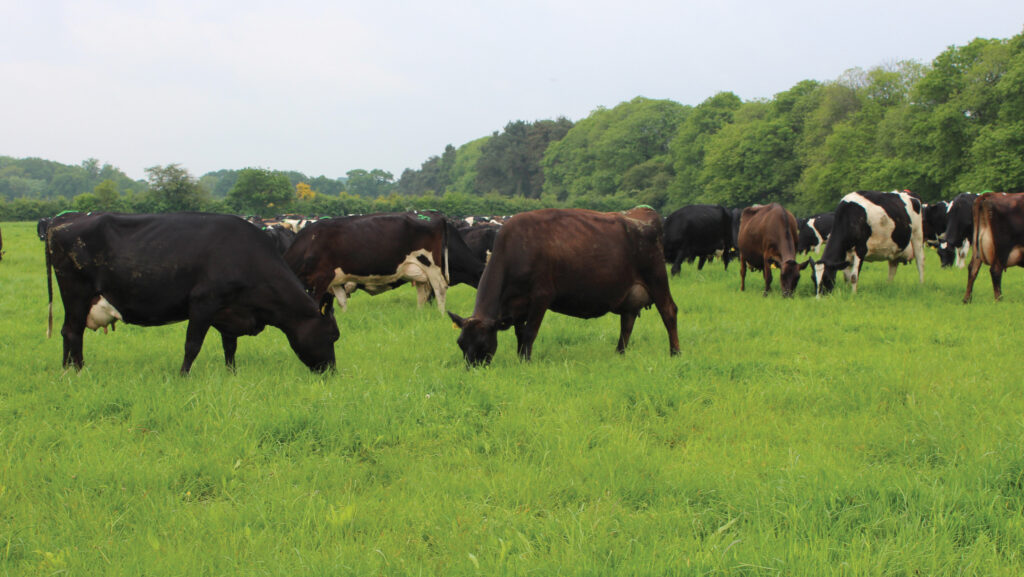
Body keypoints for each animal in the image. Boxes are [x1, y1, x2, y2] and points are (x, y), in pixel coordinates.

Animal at [46, 212, 337, 375]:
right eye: (333, 335)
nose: (331, 372)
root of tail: (59, 224)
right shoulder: (203, 303)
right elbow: (192, 345)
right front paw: (183, 376)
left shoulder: (230, 311)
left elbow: (230, 347)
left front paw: (231, 374)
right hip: (76, 292)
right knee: (73, 333)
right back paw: (79, 371)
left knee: (67, 331)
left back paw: (67, 370)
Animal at [284, 211, 483, 313]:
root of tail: (435, 215)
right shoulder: (335, 282)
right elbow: (342, 303)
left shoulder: (322, 278)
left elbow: (317, 305)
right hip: (419, 270)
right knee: (423, 292)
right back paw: (420, 314)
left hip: (431, 265)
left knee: (439, 288)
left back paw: (440, 315)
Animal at [448, 208, 679, 364]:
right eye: (460, 343)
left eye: (483, 344)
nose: (472, 369)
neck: (516, 250)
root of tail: (643, 213)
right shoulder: (517, 305)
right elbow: (520, 334)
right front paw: (520, 357)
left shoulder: (541, 296)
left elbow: (530, 333)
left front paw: (526, 362)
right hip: (630, 294)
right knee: (627, 322)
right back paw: (619, 354)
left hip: (656, 278)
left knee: (669, 312)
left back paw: (675, 353)